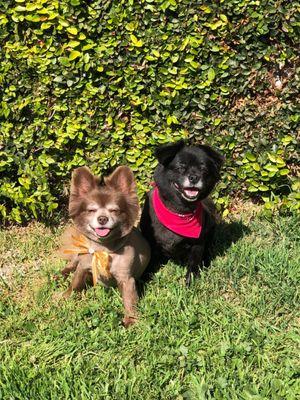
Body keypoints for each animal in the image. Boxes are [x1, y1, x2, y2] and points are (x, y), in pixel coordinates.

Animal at [60, 166, 151, 324]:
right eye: (91, 210)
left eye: (114, 210)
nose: (102, 218)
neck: (103, 250)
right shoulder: (82, 267)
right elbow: (75, 282)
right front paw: (66, 296)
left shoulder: (126, 279)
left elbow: (129, 300)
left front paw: (131, 319)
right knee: (72, 263)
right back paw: (63, 272)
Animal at [140, 141, 223, 284]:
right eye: (180, 168)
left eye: (204, 170)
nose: (194, 177)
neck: (179, 211)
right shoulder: (149, 240)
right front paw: (143, 278)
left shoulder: (198, 243)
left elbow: (194, 262)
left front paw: (191, 280)